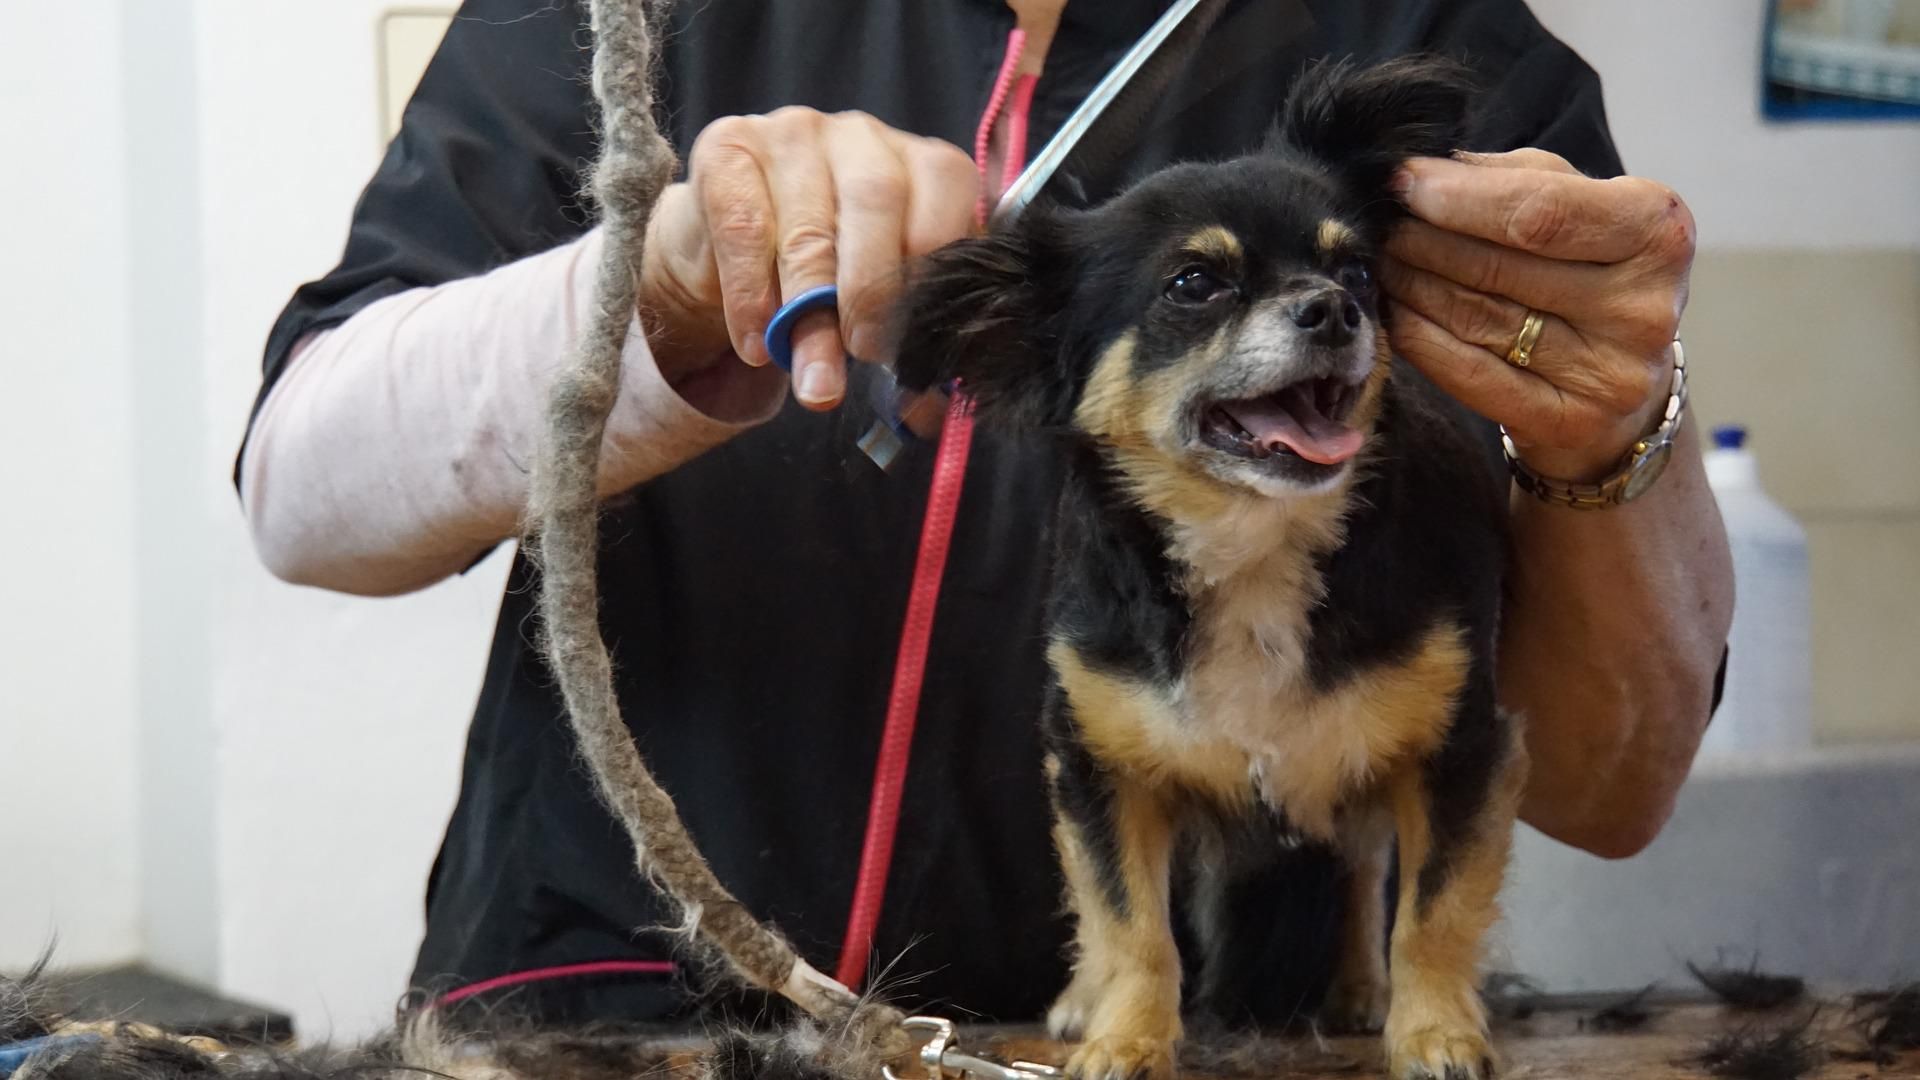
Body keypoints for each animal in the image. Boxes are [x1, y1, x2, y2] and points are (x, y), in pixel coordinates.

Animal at [894, 58, 1528, 1076]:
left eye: (1357, 270)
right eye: (1195, 283)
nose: (1333, 308)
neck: (1253, 542)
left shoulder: (1459, 750)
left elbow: (1431, 914)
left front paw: (1435, 1032)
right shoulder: (1101, 769)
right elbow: (1130, 925)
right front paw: (1125, 1038)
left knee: (1361, 868)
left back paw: (1362, 990)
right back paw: (1085, 1001)